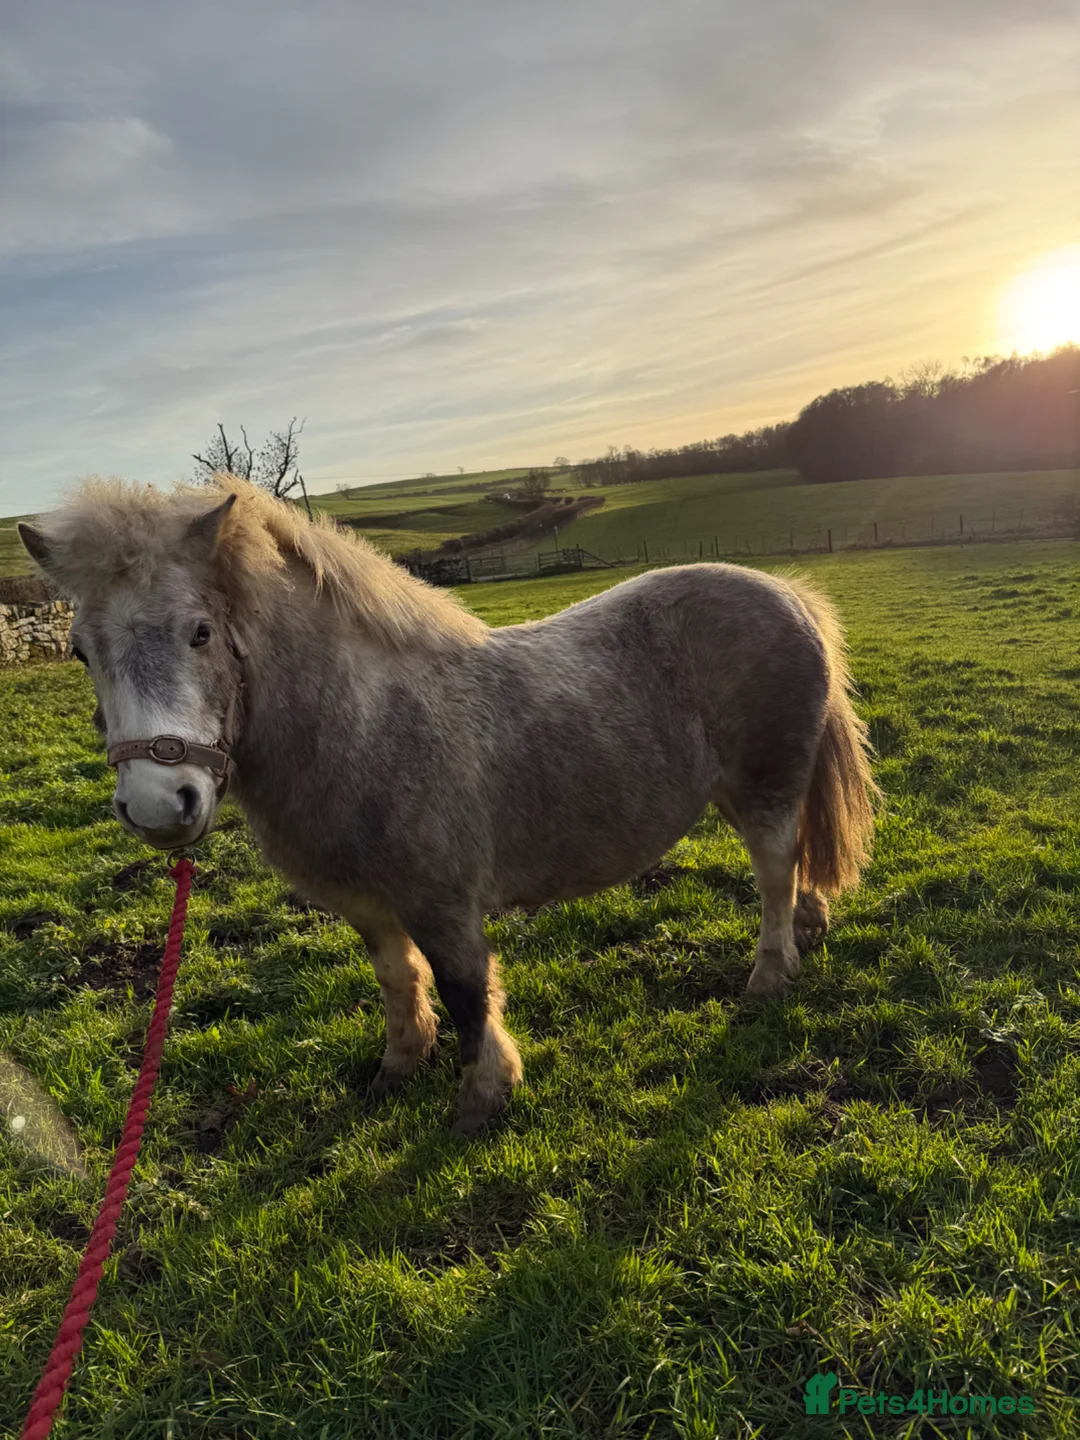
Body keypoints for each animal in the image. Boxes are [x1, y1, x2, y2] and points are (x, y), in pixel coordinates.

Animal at [19, 476, 876, 1132]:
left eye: (200, 633)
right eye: (80, 652)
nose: (159, 806)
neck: (366, 723)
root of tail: (788, 594)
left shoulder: (443, 901)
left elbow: (466, 991)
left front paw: (482, 1095)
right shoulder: (368, 904)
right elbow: (398, 978)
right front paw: (398, 1066)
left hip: (765, 787)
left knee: (774, 869)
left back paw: (770, 973)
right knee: (794, 865)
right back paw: (810, 927)